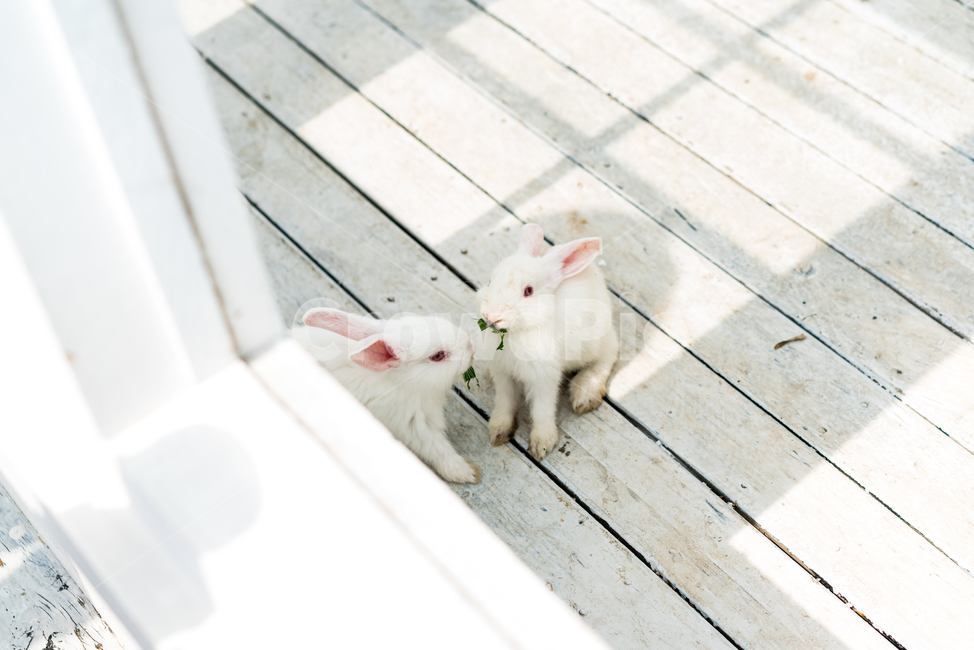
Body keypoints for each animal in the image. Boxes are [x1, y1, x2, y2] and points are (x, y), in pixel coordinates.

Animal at [298, 308, 480, 483]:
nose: (472, 347)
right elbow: (438, 449)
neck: (404, 383)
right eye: (438, 356)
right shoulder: (414, 425)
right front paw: (467, 473)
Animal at [478, 224, 618, 461]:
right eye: (490, 281)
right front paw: (498, 432)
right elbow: (505, 401)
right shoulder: (503, 374)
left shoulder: (544, 378)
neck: (518, 332)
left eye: (528, 291)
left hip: (598, 344)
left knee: (608, 356)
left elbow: (542, 409)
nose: (491, 316)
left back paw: (585, 395)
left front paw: (542, 445)